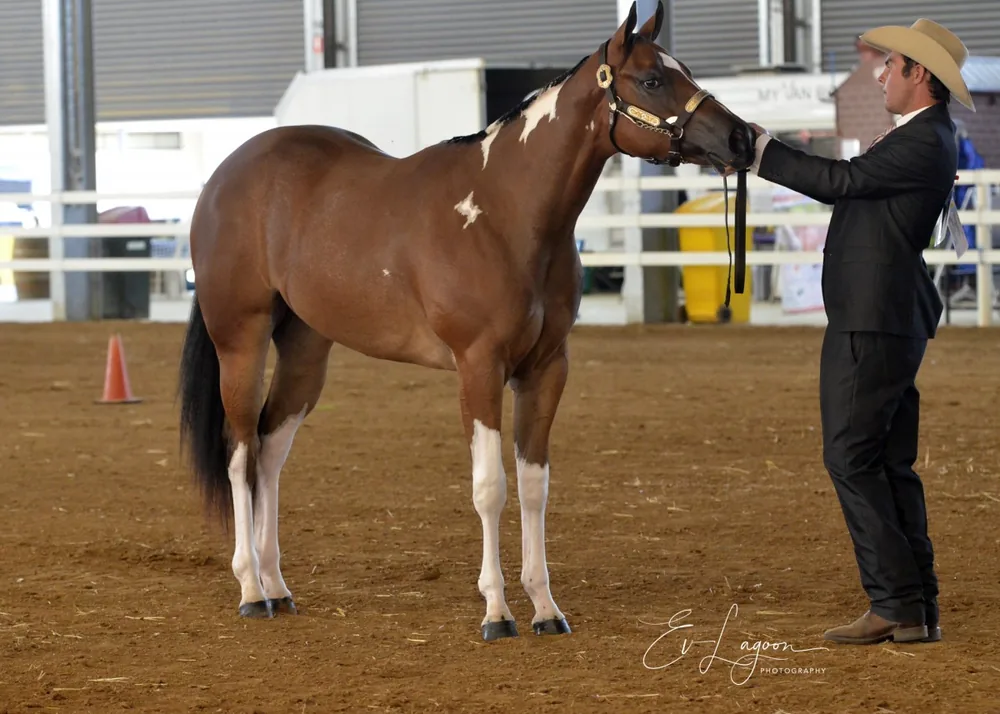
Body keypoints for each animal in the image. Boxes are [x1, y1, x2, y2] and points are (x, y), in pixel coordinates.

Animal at [177, 0, 756, 642]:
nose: (741, 137)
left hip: (306, 347)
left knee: (271, 450)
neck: (505, 214)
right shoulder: (479, 366)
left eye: (686, 70)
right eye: (653, 80)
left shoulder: (546, 369)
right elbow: (489, 488)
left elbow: (534, 486)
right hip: (241, 338)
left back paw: (278, 585)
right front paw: (497, 611)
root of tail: (226, 176)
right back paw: (252, 590)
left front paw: (546, 607)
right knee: (240, 452)